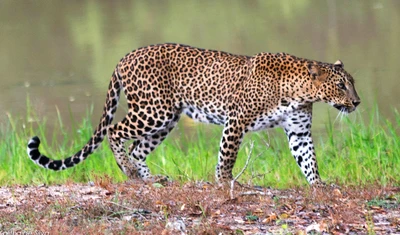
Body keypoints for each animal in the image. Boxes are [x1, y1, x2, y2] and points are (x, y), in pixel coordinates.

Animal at [26, 43, 360, 185]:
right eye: (341, 85)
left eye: (352, 83)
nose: (357, 103)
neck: (299, 92)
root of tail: (124, 57)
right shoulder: (236, 121)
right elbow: (227, 156)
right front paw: (225, 183)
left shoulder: (299, 130)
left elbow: (309, 160)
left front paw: (319, 186)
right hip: (154, 110)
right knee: (114, 131)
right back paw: (128, 171)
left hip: (167, 119)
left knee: (137, 148)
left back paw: (150, 178)